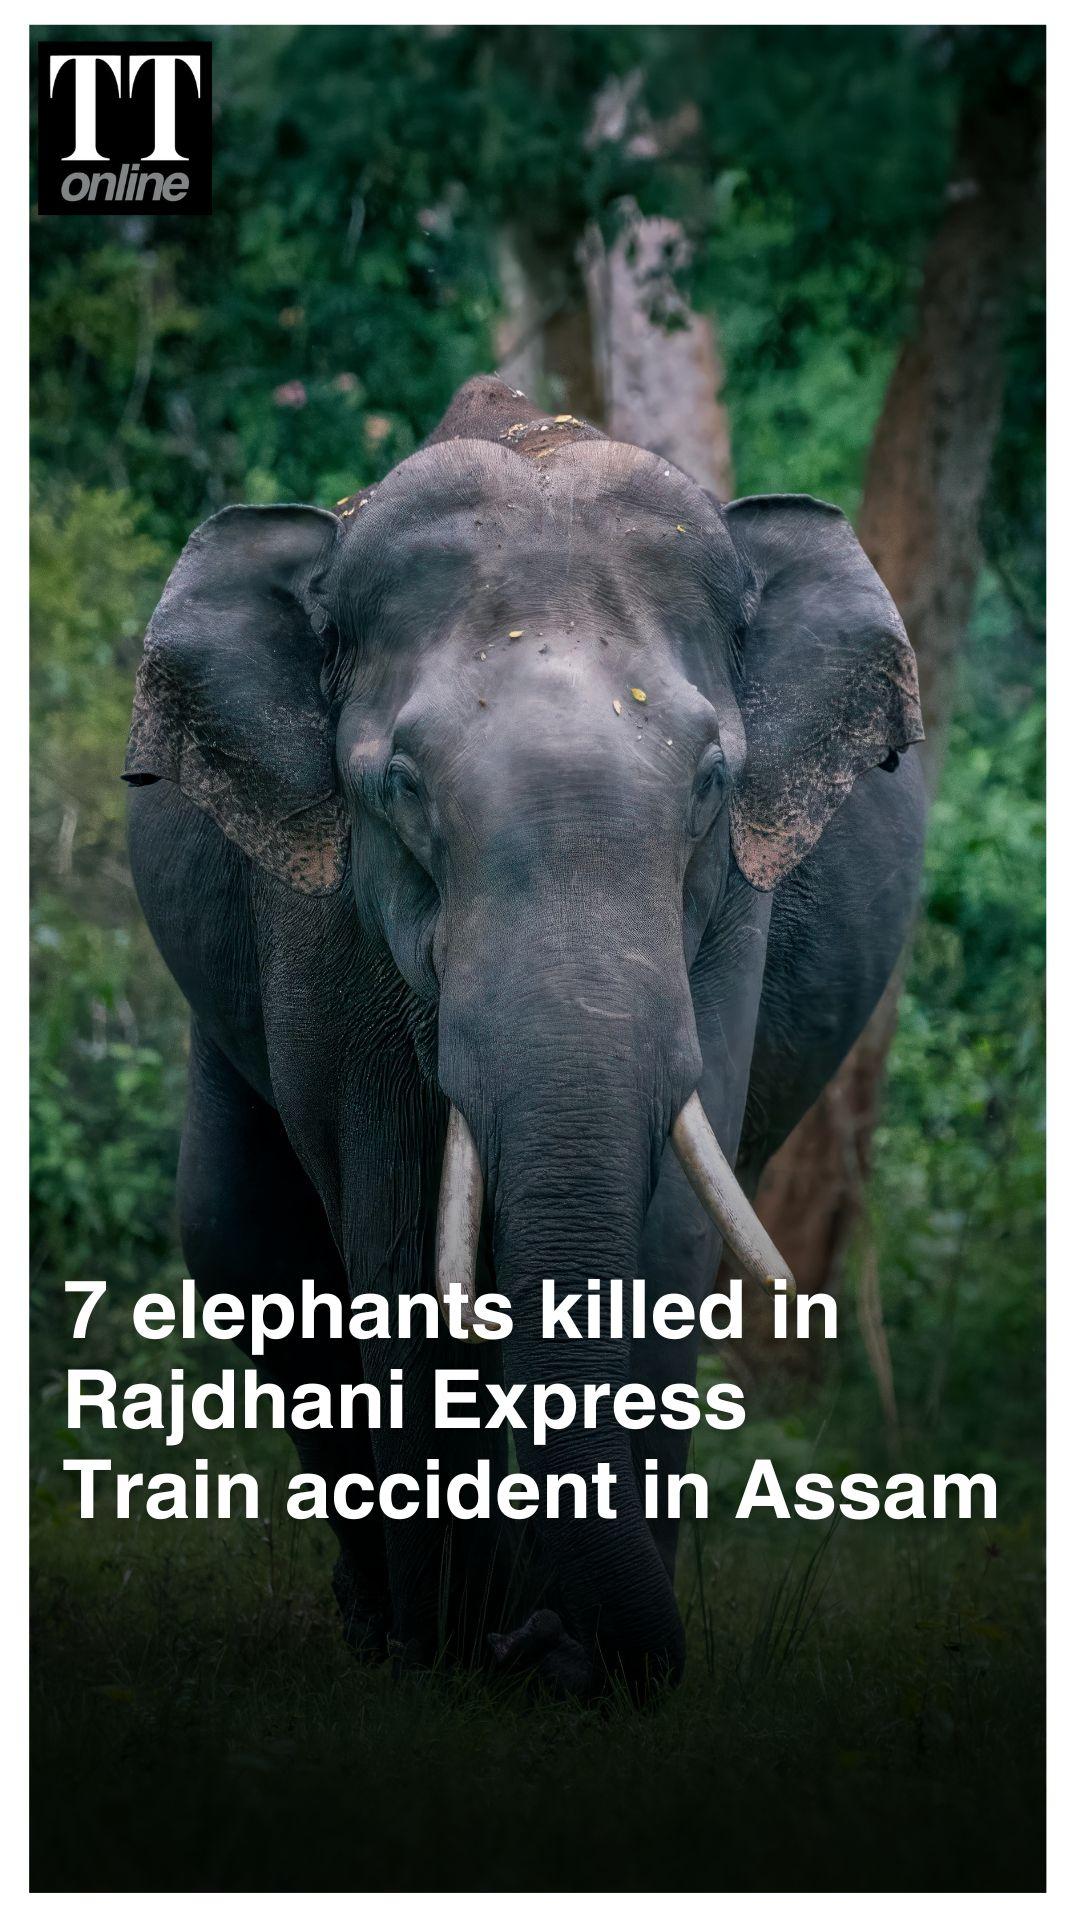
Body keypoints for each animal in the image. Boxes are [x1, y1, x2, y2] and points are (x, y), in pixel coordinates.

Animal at [124, 373, 925, 1697]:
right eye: (399, 786)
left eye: (713, 780)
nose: (540, 1648)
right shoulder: (323, 918)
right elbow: (396, 1240)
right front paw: (450, 1655)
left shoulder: (730, 918)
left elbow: (667, 1232)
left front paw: (569, 1660)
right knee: (241, 1239)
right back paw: (380, 1624)